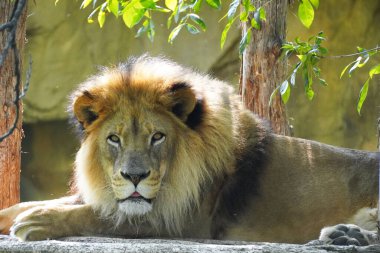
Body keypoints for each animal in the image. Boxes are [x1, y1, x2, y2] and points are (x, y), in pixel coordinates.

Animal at [0, 55, 380, 245]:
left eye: (157, 137)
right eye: (114, 139)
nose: (134, 177)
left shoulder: (183, 220)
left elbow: (99, 217)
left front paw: (36, 222)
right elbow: (51, 203)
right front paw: (18, 214)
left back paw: (347, 235)